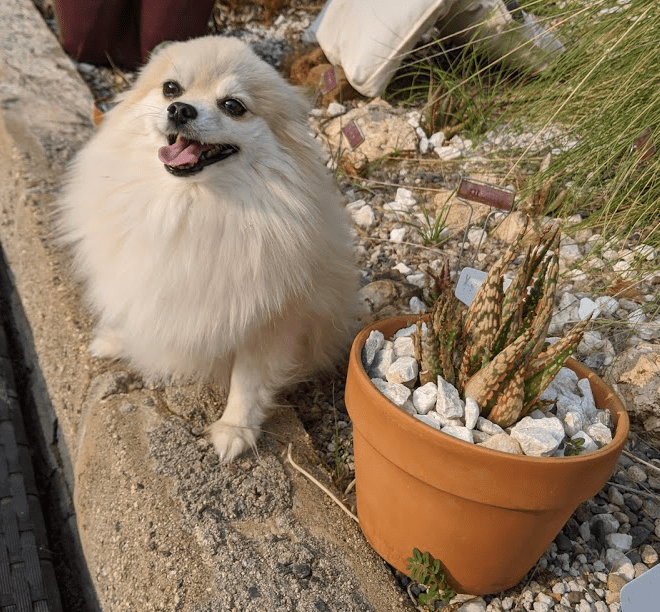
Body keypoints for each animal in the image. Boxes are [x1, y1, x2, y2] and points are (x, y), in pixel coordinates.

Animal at [56, 35, 356, 462]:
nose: (180, 109)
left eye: (233, 106)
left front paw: (234, 429)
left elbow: (249, 378)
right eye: (171, 88)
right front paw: (116, 339)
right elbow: (134, 309)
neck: (191, 204)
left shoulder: (273, 317)